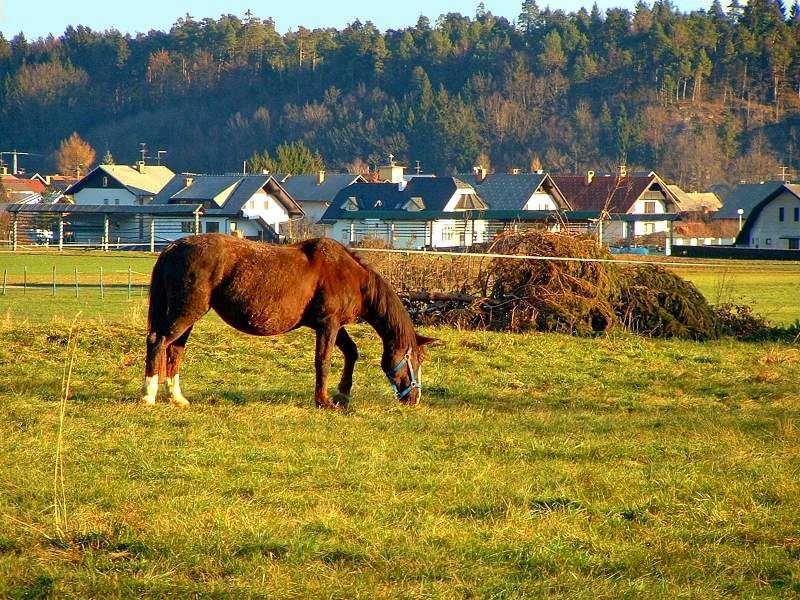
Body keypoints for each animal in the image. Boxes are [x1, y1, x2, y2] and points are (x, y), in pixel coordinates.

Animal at [141, 233, 434, 408]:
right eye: (414, 359)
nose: (415, 398)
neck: (350, 276)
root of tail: (173, 247)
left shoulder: (334, 326)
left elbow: (351, 352)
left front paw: (343, 394)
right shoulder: (328, 324)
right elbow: (323, 361)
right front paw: (323, 401)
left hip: (187, 317)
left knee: (175, 349)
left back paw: (177, 398)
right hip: (187, 311)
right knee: (158, 341)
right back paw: (148, 395)